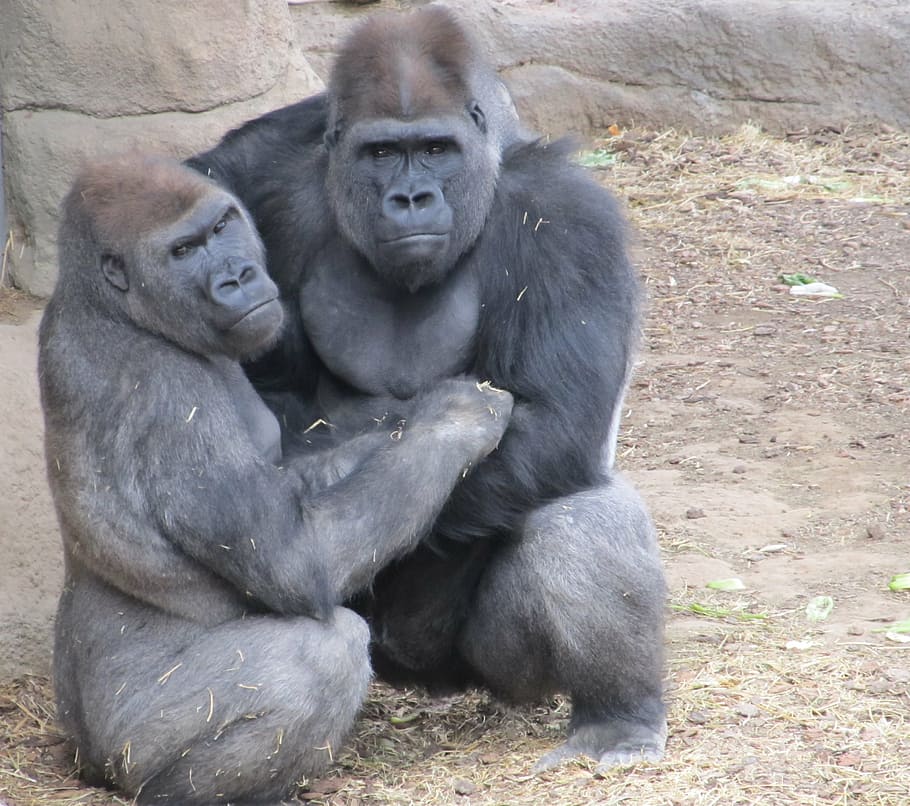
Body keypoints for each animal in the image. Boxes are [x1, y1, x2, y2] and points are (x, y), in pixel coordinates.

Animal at [39, 153, 512, 806]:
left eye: (221, 227)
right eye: (182, 251)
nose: (236, 277)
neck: (111, 307)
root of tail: (86, 755)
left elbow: (302, 486)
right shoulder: (166, 393)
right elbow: (293, 556)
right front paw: (455, 420)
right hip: (128, 744)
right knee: (324, 653)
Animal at [187, 6, 668, 776]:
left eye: (436, 149)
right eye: (383, 153)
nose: (410, 198)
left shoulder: (569, 220)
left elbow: (558, 421)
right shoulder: (260, 171)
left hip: (492, 668)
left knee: (577, 504)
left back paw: (618, 718)